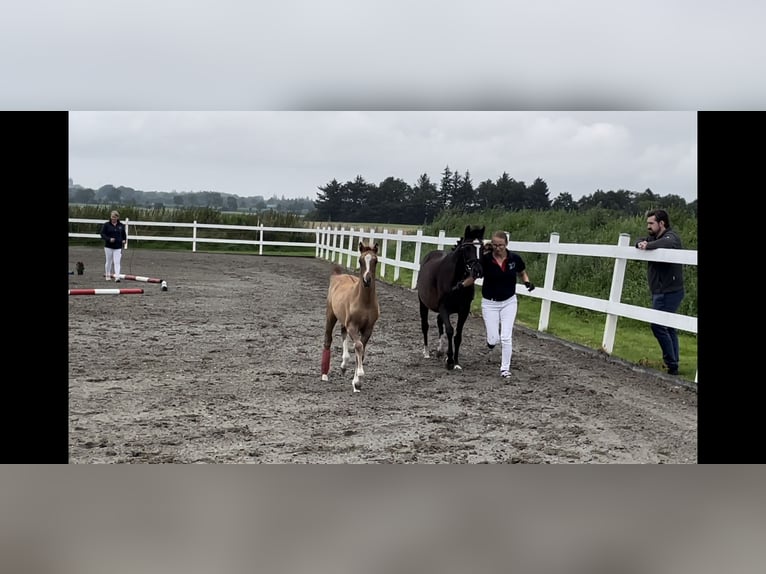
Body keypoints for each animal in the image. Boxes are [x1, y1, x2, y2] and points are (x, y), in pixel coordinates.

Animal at [320, 243, 380, 396]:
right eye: (360, 260)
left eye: (375, 261)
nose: (367, 280)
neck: (364, 302)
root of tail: (337, 276)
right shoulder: (353, 325)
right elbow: (358, 346)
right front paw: (359, 377)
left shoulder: (368, 329)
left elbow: (361, 350)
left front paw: (356, 383)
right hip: (331, 315)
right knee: (328, 338)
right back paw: (324, 374)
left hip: (343, 320)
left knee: (343, 333)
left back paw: (344, 365)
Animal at [420, 227, 486, 372]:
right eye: (467, 248)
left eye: (483, 248)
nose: (478, 270)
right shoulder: (444, 307)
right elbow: (450, 330)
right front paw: (449, 360)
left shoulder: (464, 310)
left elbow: (458, 335)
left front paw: (455, 362)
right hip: (423, 303)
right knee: (425, 326)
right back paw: (426, 352)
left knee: (439, 321)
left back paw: (440, 350)